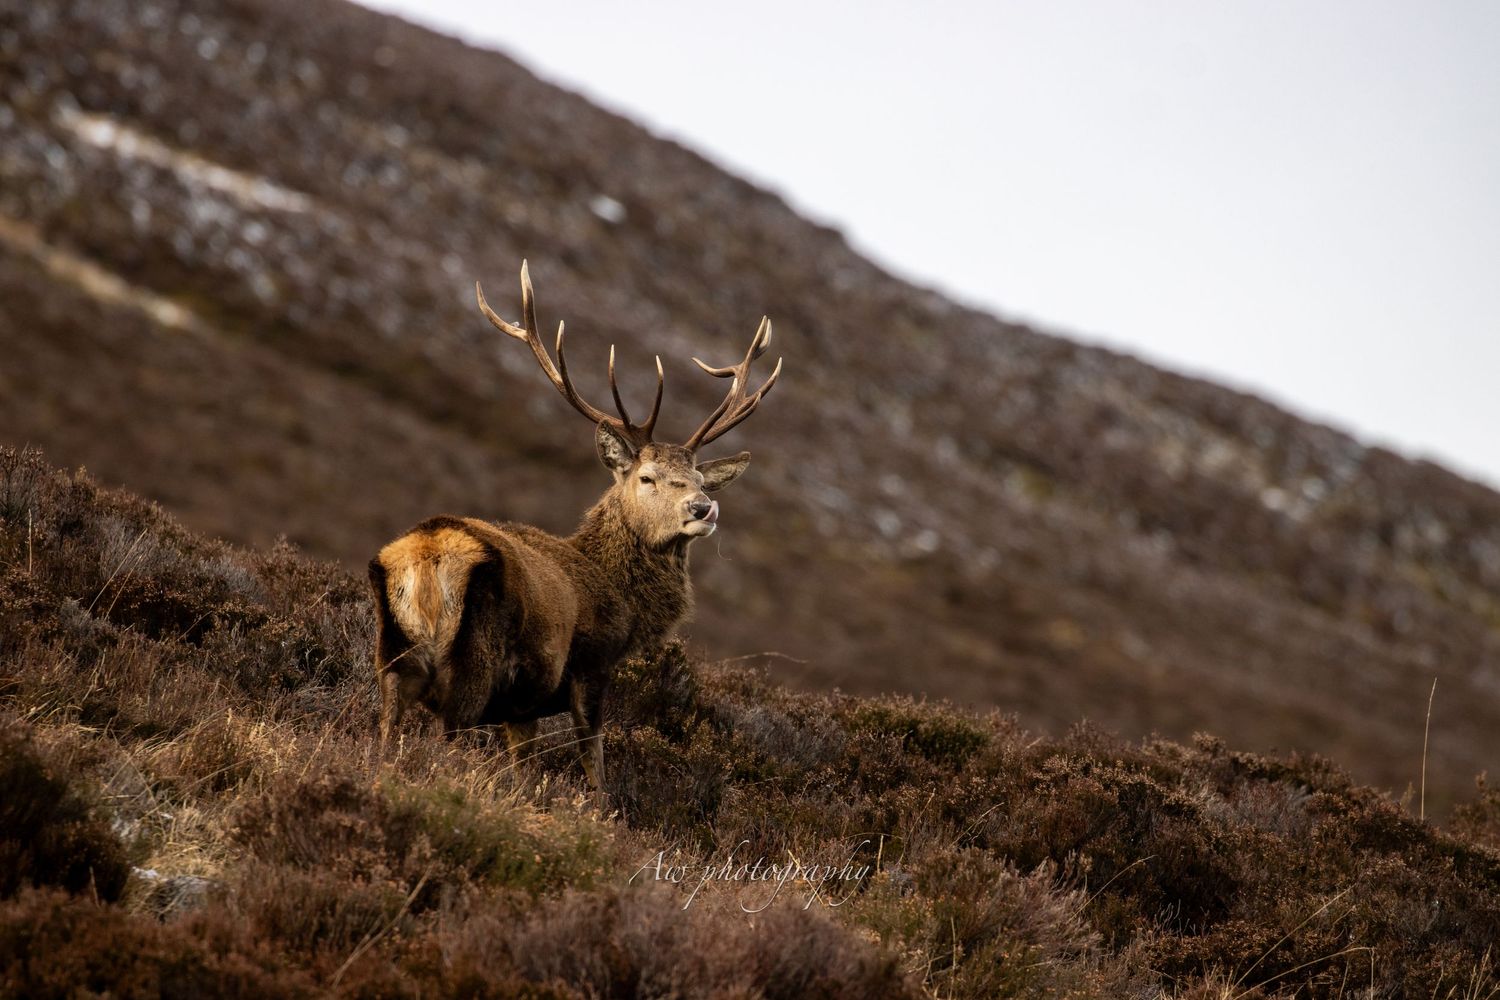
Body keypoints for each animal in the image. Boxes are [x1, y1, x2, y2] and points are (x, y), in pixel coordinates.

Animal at [367, 261, 781, 790]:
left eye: (699, 480)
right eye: (646, 477)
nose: (703, 508)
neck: (626, 604)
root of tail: (426, 554)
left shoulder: (522, 707)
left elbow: (522, 765)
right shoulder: (591, 667)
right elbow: (595, 766)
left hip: (392, 658)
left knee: (385, 732)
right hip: (471, 662)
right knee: (447, 739)